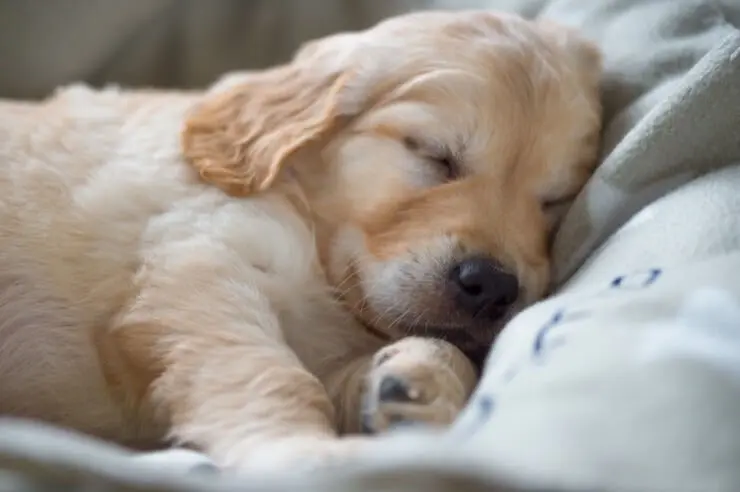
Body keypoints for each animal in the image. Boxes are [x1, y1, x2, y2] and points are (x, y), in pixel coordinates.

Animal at [0, 11, 600, 470]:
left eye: (552, 200)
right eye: (435, 156)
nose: (493, 285)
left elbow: (417, 352)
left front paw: (415, 379)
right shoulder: (199, 260)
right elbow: (270, 373)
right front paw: (303, 453)